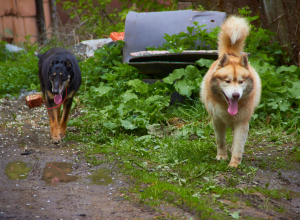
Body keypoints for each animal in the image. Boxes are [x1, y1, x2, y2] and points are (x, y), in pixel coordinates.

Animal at [200, 15, 262, 167]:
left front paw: (234, 163)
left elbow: (238, 145)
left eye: (241, 81)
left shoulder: (242, 123)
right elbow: (220, 141)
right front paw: (222, 156)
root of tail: (231, 54)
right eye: (227, 81)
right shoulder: (217, 121)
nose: (235, 95)